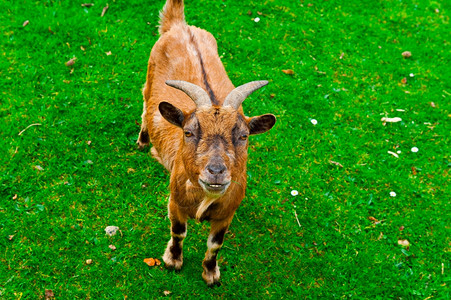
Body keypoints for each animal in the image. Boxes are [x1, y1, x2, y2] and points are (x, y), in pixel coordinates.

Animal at [139, 0, 276, 286]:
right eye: (189, 132)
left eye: (243, 135)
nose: (215, 172)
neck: (205, 198)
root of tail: (181, 26)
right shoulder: (175, 202)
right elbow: (178, 232)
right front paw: (173, 261)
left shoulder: (226, 214)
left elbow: (215, 244)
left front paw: (211, 274)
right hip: (149, 74)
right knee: (145, 103)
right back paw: (143, 141)